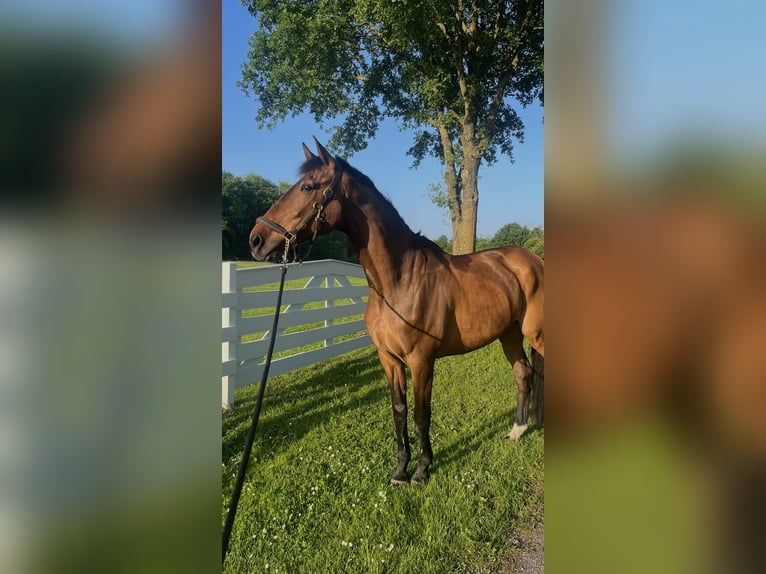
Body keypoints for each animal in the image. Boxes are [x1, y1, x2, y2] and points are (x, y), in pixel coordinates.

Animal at [249, 140, 544, 486]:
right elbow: (399, 410)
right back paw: (517, 430)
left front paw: (422, 469)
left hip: (536, 334)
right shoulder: (389, 359)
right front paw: (401, 470)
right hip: (509, 334)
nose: (256, 239)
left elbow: (421, 413)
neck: (400, 280)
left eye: (307, 187)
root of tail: (533, 260)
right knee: (523, 373)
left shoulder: (421, 361)